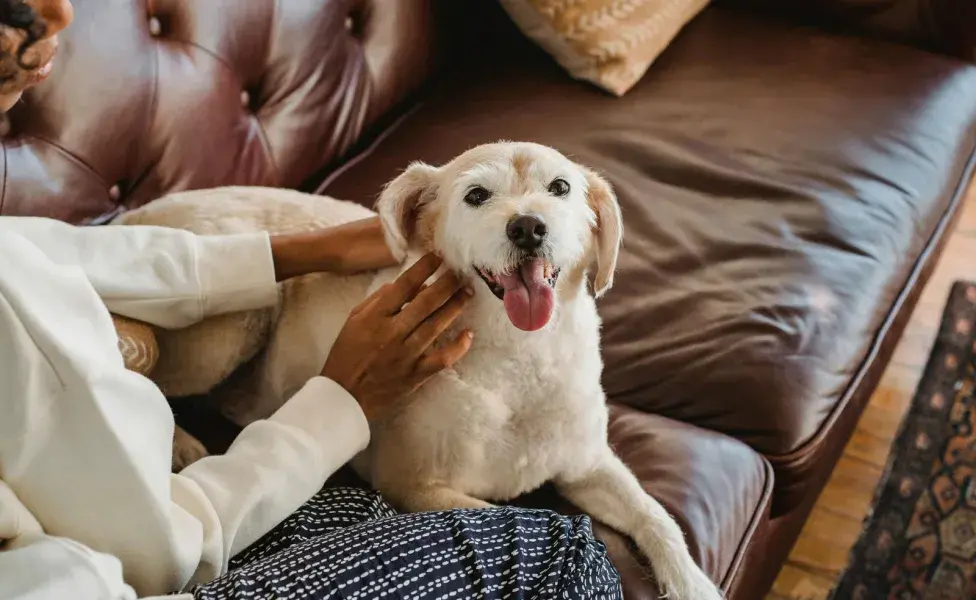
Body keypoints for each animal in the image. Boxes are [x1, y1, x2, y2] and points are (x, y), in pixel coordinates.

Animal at [116, 142, 724, 600]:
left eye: (560, 188)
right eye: (476, 196)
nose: (528, 227)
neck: (518, 358)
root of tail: (133, 215)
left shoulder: (587, 465)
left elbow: (656, 517)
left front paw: (692, 583)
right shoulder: (415, 487)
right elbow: (500, 513)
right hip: (232, 326)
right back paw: (178, 445)